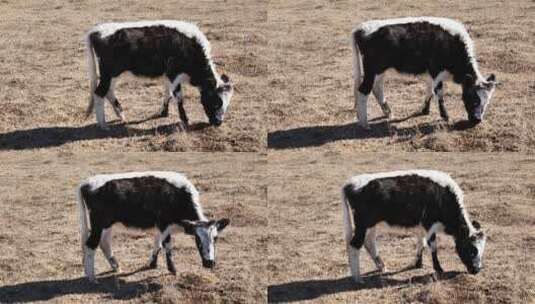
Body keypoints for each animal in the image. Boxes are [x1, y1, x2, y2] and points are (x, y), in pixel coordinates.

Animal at [76, 172, 230, 282]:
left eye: (215, 238)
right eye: (197, 239)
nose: (210, 263)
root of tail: (86, 183)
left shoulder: (159, 226)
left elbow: (158, 244)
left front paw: (153, 264)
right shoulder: (164, 224)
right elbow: (167, 245)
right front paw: (172, 269)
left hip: (107, 225)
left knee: (104, 243)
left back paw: (116, 267)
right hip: (98, 224)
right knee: (90, 245)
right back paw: (92, 278)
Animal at [85, 20, 232, 129]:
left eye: (227, 104)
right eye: (217, 102)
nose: (218, 122)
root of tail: (96, 30)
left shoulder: (168, 76)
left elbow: (167, 93)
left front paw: (164, 112)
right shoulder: (174, 75)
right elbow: (179, 97)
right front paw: (185, 120)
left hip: (113, 75)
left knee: (108, 91)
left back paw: (121, 115)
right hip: (109, 73)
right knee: (99, 93)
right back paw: (103, 125)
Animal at [344, 170, 486, 284]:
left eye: (482, 250)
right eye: (472, 250)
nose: (476, 270)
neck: (443, 196)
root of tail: (350, 183)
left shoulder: (421, 226)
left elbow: (421, 243)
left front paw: (418, 263)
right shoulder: (429, 224)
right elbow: (432, 246)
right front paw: (439, 269)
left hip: (371, 226)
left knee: (369, 243)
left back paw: (382, 267)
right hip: (363, 225)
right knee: (354, 245)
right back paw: (358, 278)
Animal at [352, 16, 498, 128]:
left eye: (487, 102)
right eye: (473, 98)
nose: (477, 120)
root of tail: (361, 28)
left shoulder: (430, 74)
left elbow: (429, 90)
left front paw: (425, 110)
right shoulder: (436, 72)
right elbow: (439, 93)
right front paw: (445, 116)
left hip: (380, 71)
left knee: (377, 88)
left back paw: (388, 113)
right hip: (372, 70)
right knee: (363, 91)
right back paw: (365, 124)